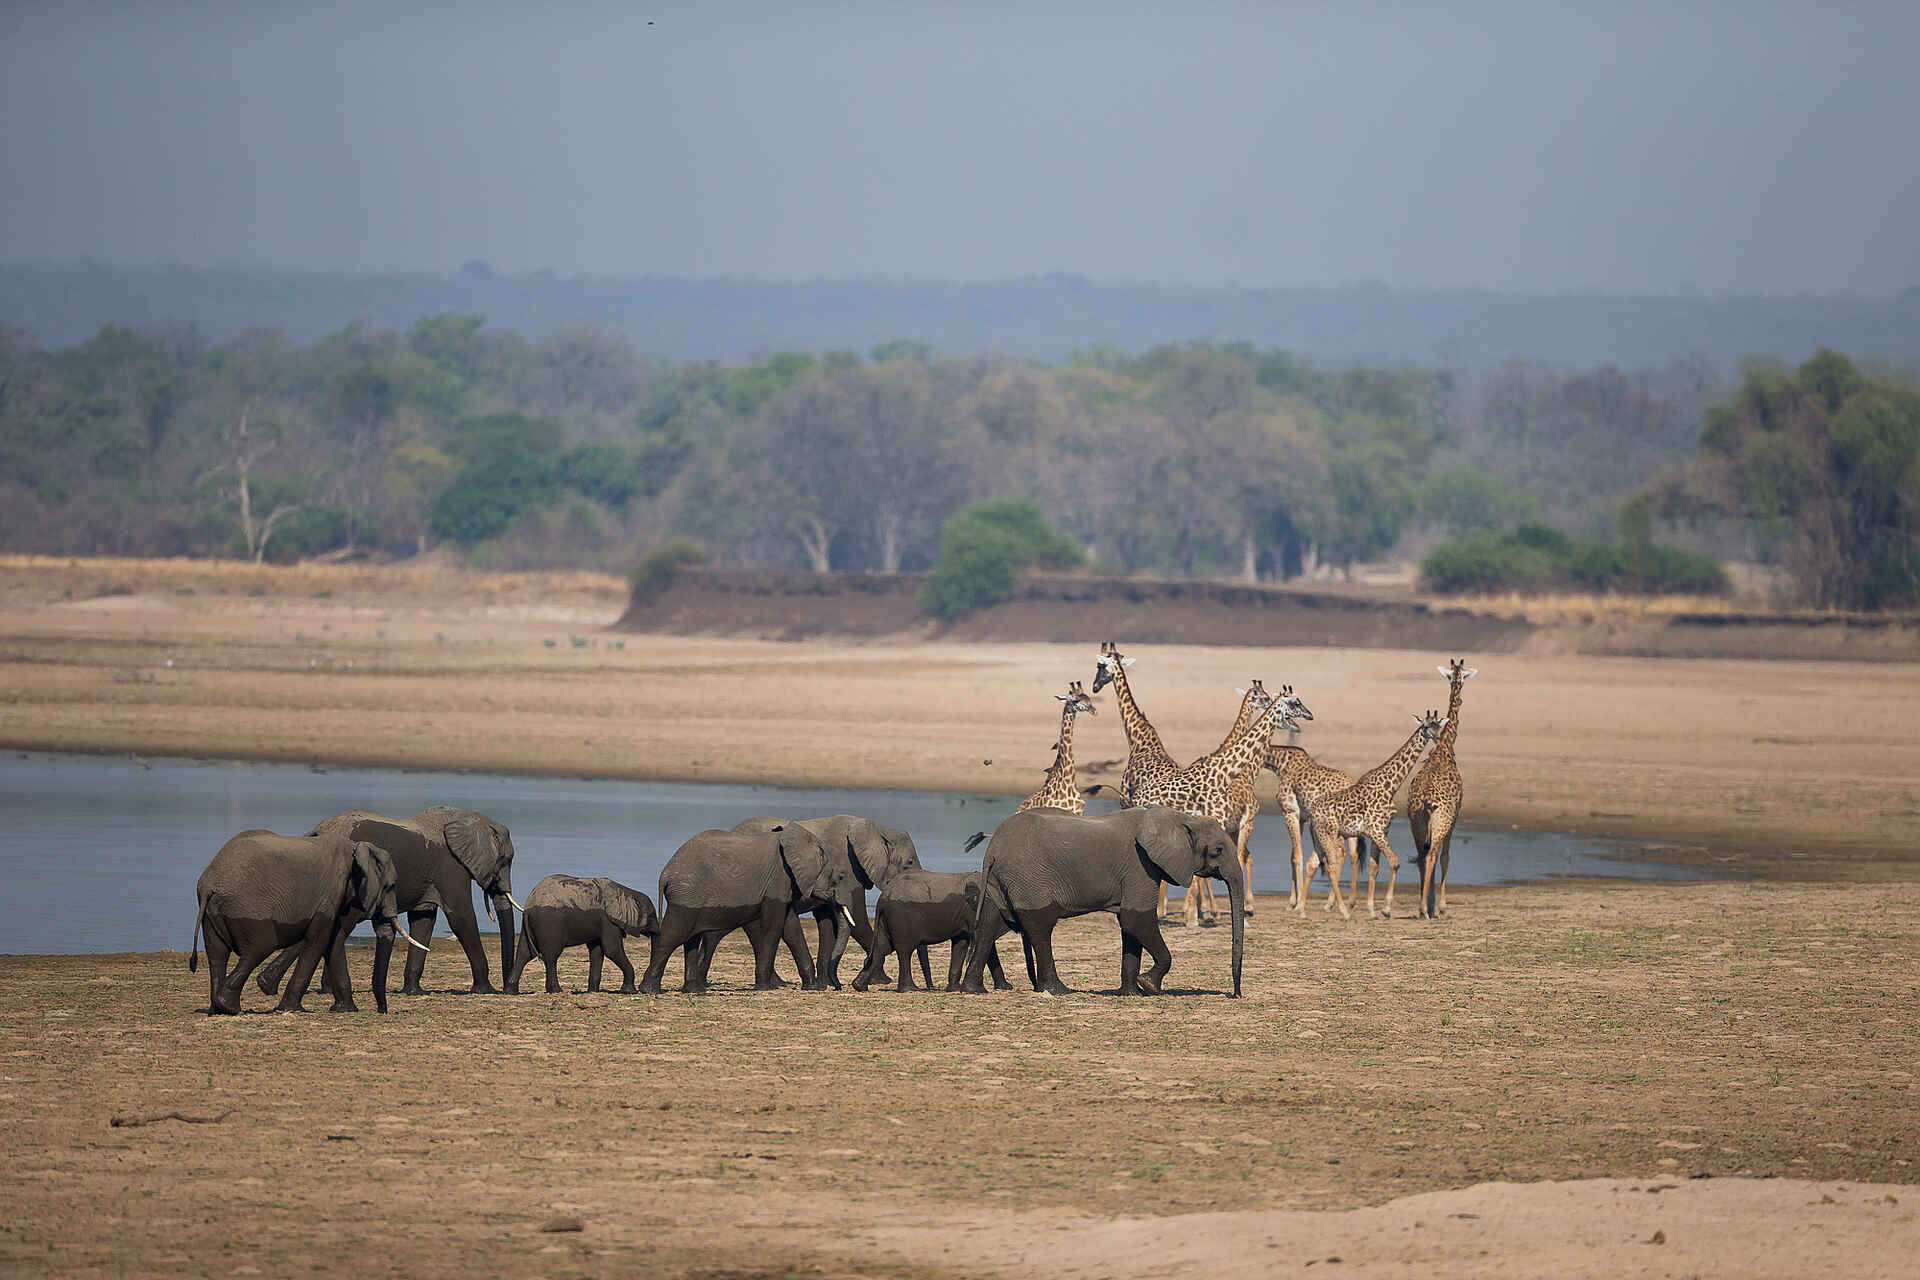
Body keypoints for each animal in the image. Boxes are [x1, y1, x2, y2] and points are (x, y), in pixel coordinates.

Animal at [1305, 709, 1448, 920]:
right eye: (1426, 726)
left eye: (1439, 725)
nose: (1438, 739)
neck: (1391, 786)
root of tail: (1312, 814)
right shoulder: (1376, 831)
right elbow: (1394, 862)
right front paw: (1386, 909)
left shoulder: (1381, 832)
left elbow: (1374, 867)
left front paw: (1372, 910)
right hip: (1328, 835)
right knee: (1330, 866)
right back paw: (1341, 910)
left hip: (1320, 839)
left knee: (1314, 863)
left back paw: (1302, 909)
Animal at [1407, 658, 1475, 919]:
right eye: (1463, 677)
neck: (1445, 747)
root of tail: (1426, 801)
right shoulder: (1456, 815)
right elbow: (1446, 857)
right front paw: (1442, 906)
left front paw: (1433, 903)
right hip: (1441, 821)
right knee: (1433, 855)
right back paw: (1427, 909)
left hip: (1416, 823)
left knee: (1422, 857)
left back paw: (1422, 907)